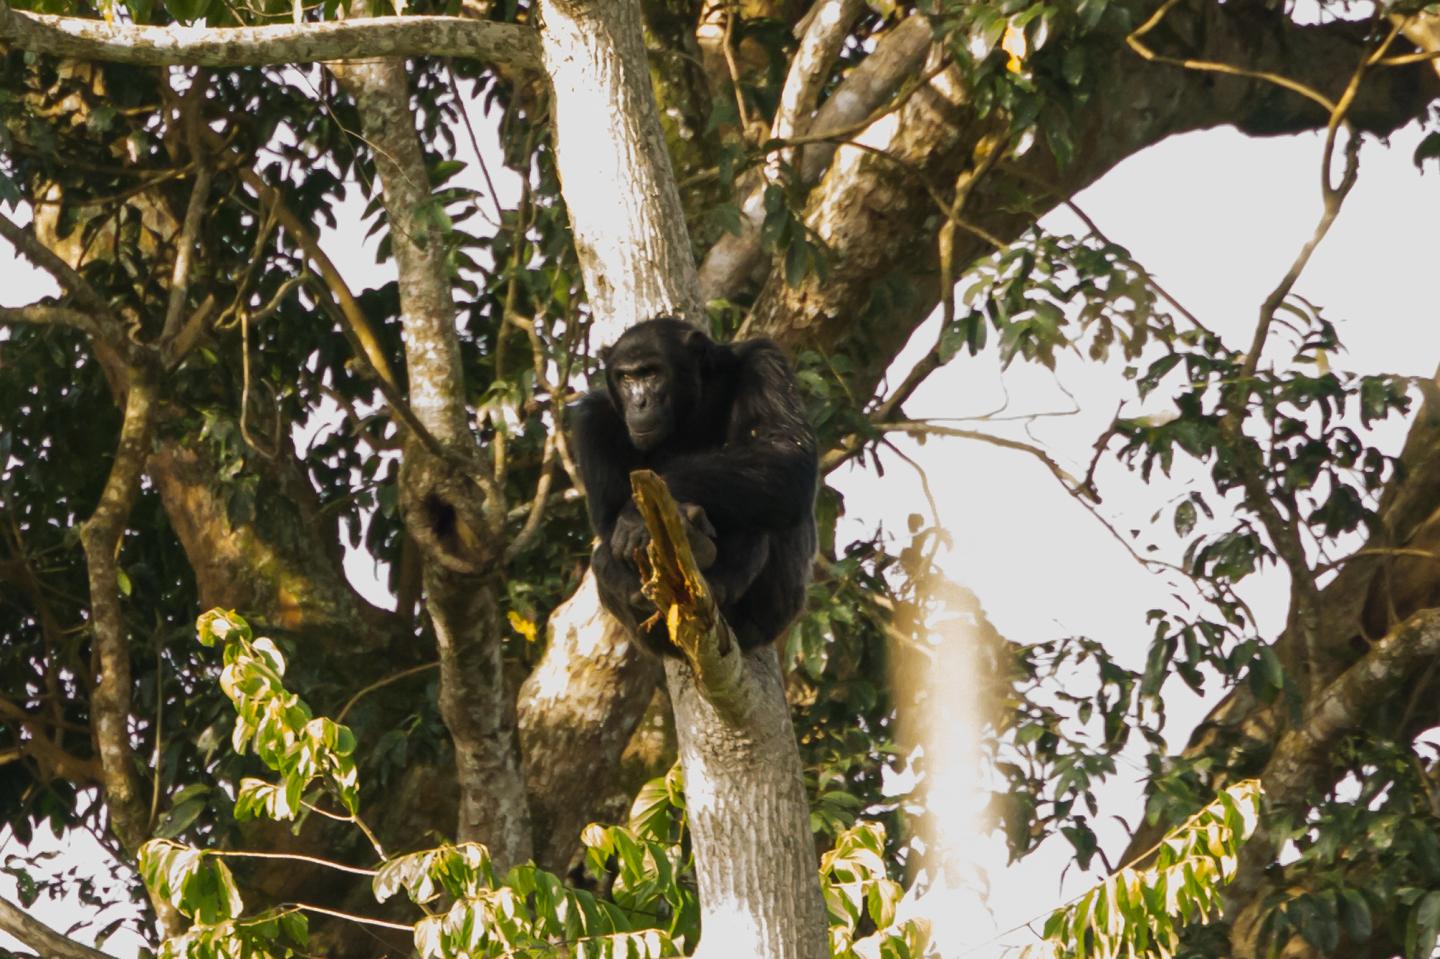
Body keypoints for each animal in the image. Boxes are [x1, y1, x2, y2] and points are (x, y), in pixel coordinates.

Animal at [573, 316, 823, 653]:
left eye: (652, 373)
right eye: (625, 377)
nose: (639, 401)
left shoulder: (764, 361)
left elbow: (784, 450)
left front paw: (636, 517)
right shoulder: (591, 420)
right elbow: (607, 520)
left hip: (776, 612)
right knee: (603, 558)